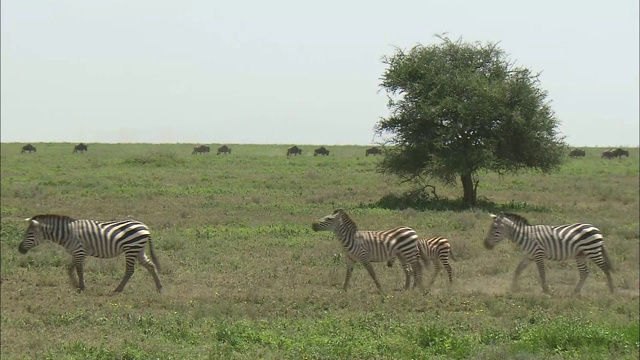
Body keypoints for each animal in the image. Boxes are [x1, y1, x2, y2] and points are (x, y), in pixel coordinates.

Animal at [17, 214, 164, 292]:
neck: (67, 233)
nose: (19, 249)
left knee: (130, 270)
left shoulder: (80, 251)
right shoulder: (75, 253)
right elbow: (70, 269)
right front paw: (75, 284)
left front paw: (82, 286)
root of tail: (145, 227)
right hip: (138, 249)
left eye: (30, 234)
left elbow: (79, 270)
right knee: (151, 266)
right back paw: (159, 288)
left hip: (131, 248)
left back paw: (118, 289)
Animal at [484, 212, 616, 294]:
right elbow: (518, 270)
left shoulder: (538, 254)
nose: (485, 245)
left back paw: (611, 290)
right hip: (581, 254)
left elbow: (542, 273)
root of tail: (596, 229)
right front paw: (513, 288)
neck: (526, 236)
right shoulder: (529, 256)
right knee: (584, 272)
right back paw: (575, 292)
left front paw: (546, 290)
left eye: (495, 229)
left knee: (605, 268)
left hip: (592, 250)